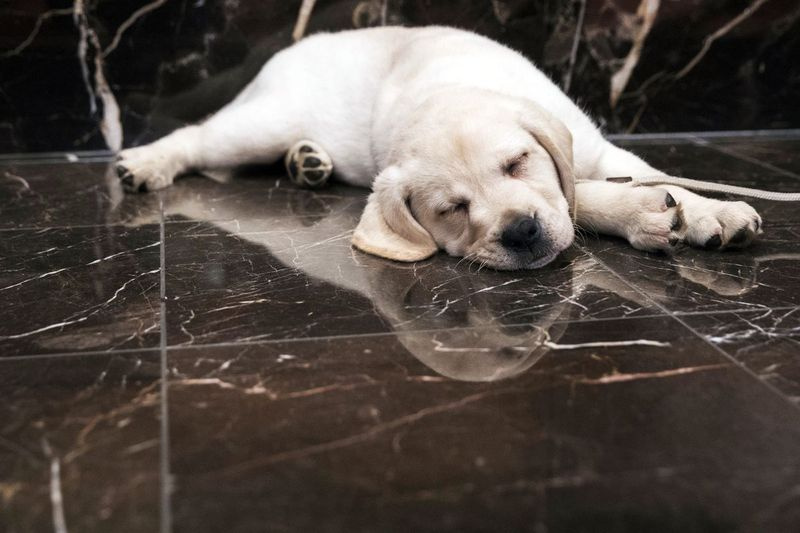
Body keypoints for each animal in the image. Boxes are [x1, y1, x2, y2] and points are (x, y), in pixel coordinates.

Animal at [114, 26, 764, 268]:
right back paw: (142, 163)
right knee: (198, 137)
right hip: (261, 122)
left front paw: (709, 210)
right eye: (452, 209)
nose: (521, 232)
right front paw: (645, 216)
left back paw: (309, 163)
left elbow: (653, 176)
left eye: (517, 163)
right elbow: (586, 197)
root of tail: (293, 47)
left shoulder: (599, 148)